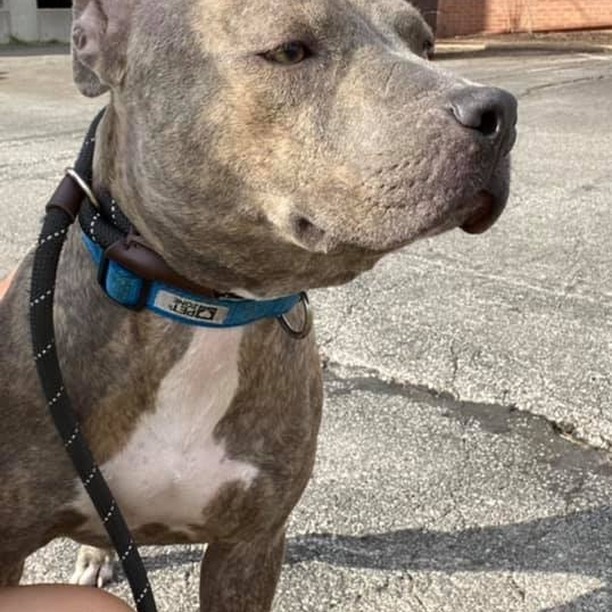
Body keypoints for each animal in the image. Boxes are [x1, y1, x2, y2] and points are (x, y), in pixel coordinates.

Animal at [0, 0, 516, 608]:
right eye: (289, 51)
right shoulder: (8, 546)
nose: (500, 110)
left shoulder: (251, 544)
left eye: (426, 45)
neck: (203, 308)